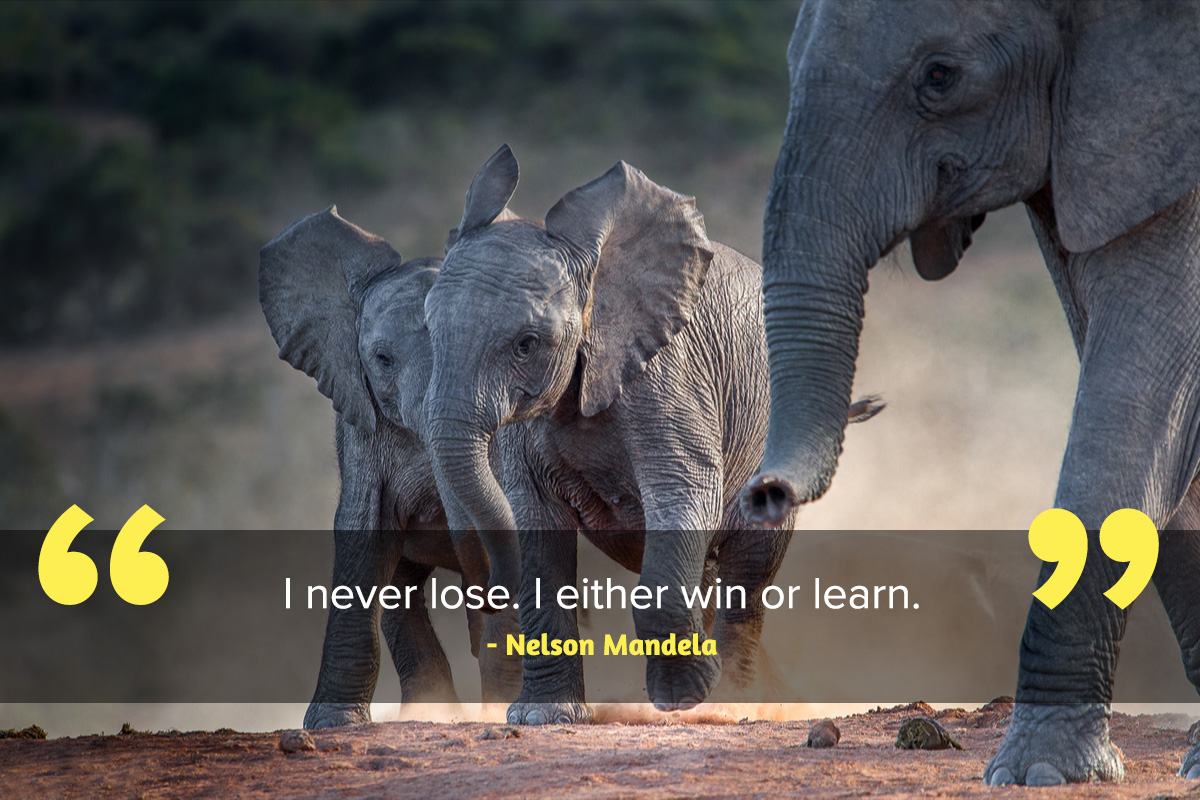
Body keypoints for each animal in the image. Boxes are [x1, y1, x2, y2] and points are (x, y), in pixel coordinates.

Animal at [259, 207, 521, 729]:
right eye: (381, 359)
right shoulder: (359, 418)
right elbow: (364, 532)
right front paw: (333, 725)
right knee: (401, 590)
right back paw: (432, 711)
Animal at [422, 144, 883, 724]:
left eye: (526, 343)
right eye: (427, 330)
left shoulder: (668, 375)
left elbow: (683, 494)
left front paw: (688, 696)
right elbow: (536, 523)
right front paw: (542, 719)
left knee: (748, 574)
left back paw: (734, 702)